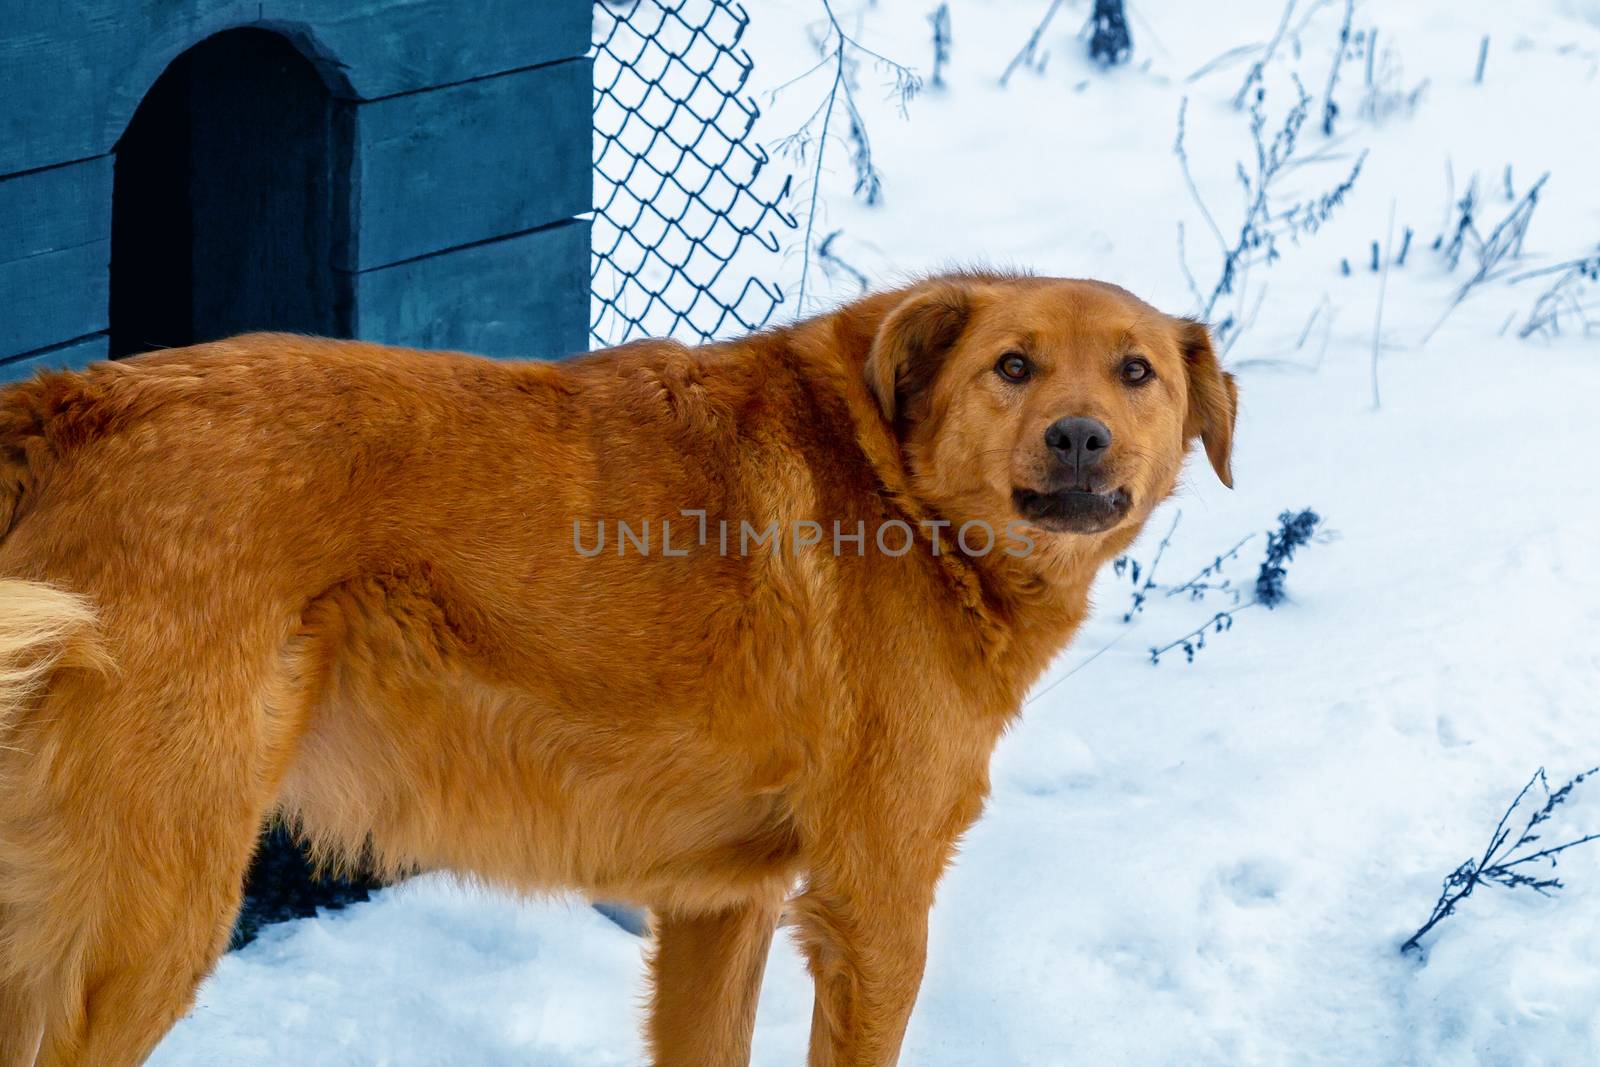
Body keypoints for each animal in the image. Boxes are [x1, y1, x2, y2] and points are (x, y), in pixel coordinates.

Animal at [0, 275, 1235, 1067]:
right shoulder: (874, 907)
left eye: (1135, 373)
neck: (901, 487)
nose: (1080, 437)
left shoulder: (719, 903)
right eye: (1011, 367)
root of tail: (68, 403)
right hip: (149, 917)